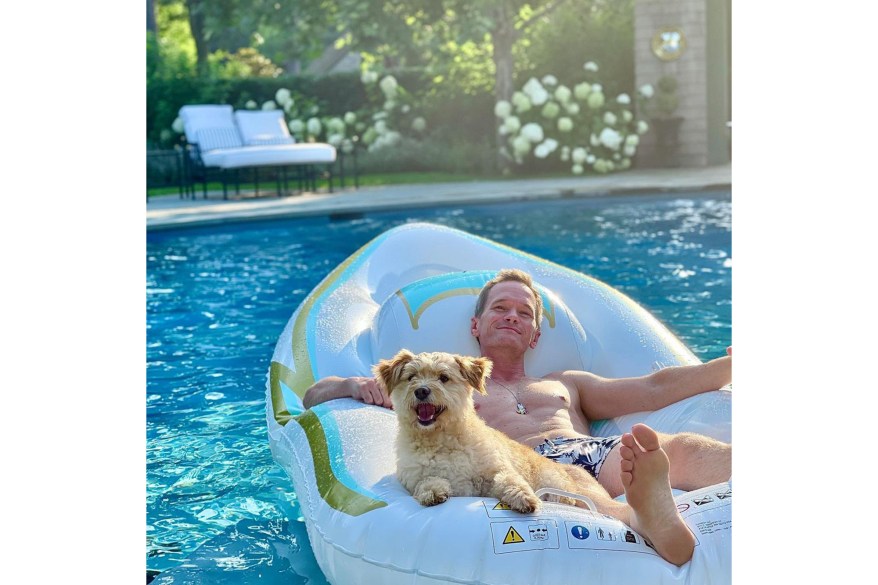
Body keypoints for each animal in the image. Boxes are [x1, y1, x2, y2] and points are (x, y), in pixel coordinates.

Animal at [374, 346, 596, 512]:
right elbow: (427, 481)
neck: (441, 438)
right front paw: (433, 492)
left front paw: (523, 497)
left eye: (443, 377)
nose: (421, 391)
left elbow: (508, 479)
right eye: (411, 377)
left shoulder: (494, 470)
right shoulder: (415, 477)